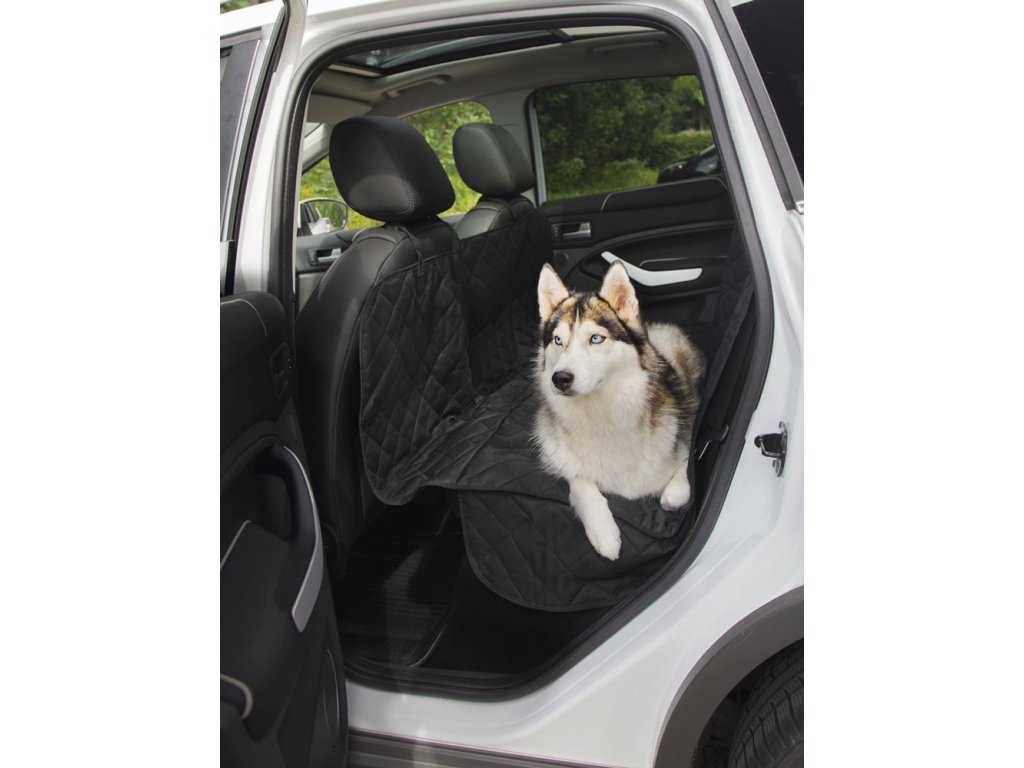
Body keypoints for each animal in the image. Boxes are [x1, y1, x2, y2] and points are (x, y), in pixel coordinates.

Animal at [533, 261, 705, 561]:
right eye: (557, 340)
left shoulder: (685, 432)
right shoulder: (560, 456)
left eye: (596, 338)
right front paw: (604, 533)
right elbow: (581, 482)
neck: (601, 411)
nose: (560, 378)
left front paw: (672, 495)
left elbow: (679, 486)